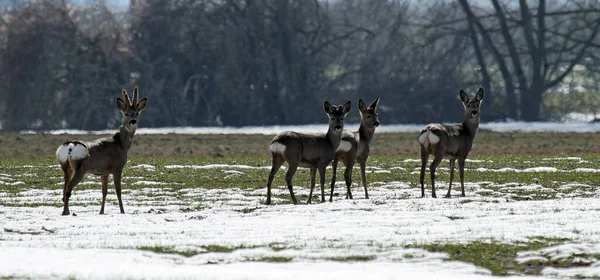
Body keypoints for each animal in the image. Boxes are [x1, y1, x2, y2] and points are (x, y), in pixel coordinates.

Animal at [56, 86, 148, 215]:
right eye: (126, 113)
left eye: (137, 113)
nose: (133, 121)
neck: (120, 144)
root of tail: (70, 147)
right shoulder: (117, 167)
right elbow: (118, 191)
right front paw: (122, 211)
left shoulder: (104, 172)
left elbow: (104, 192)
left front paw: (101, 212)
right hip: (80, 167)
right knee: (68, 188)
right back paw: (66, 212)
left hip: (65, 166)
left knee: (64, 190)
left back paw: (67, 211)